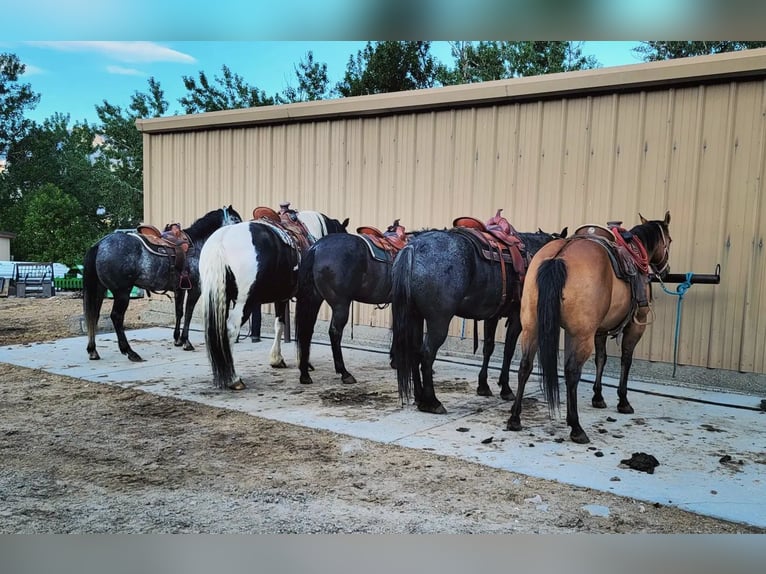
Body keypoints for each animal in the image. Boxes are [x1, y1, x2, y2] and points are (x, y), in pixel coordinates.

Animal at [83, 205, 243, 362]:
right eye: (236, 219)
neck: (198, 245)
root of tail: (99, 245)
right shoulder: (195, 289)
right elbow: (189, 312)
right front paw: (186, 342)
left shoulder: (180, 288)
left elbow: (179, 312)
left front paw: (177, 340)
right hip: (122, 292)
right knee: (116, 317)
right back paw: (130, 352)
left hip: (100, 289)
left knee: (94, 315)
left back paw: (93, 351)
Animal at [201, 207, 352, 392]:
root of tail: (222, 239)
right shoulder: (307, 297)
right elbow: (305, 328)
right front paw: (304, 362)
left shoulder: (281, 297)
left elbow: (279, 325)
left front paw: (277, 359)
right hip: (244, 303)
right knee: (230, 330)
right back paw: (233, 379)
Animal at [296, 220, 414, 388]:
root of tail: (316, 249)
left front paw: (394, 360)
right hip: (341, 305)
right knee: (334, 332)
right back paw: (344, 373)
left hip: (313, 299)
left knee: (306, 331)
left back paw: (305, 374)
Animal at [392, 212, 568, 414]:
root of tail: (412, 247)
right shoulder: (516, 318)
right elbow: (508, 351)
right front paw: (506, 389)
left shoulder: (492, 316)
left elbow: (488, 348)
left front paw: (483, 385)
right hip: (438, 321)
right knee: (427, 354)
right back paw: (432, 402)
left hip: (414, 316)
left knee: (413, 351)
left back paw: (419, 396)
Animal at [508, 212, 676, 446]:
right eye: (669, 240)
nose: (666, 270)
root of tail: (559, 256)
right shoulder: (635, 326)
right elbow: (626, 359)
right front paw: (623, 401)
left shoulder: (599, 330)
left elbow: (601, 359)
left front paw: (598, 397)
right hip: (581, 336)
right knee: (572, 372)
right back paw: (576, 427)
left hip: (532, 328)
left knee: (525, 366)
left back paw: (515, 418)